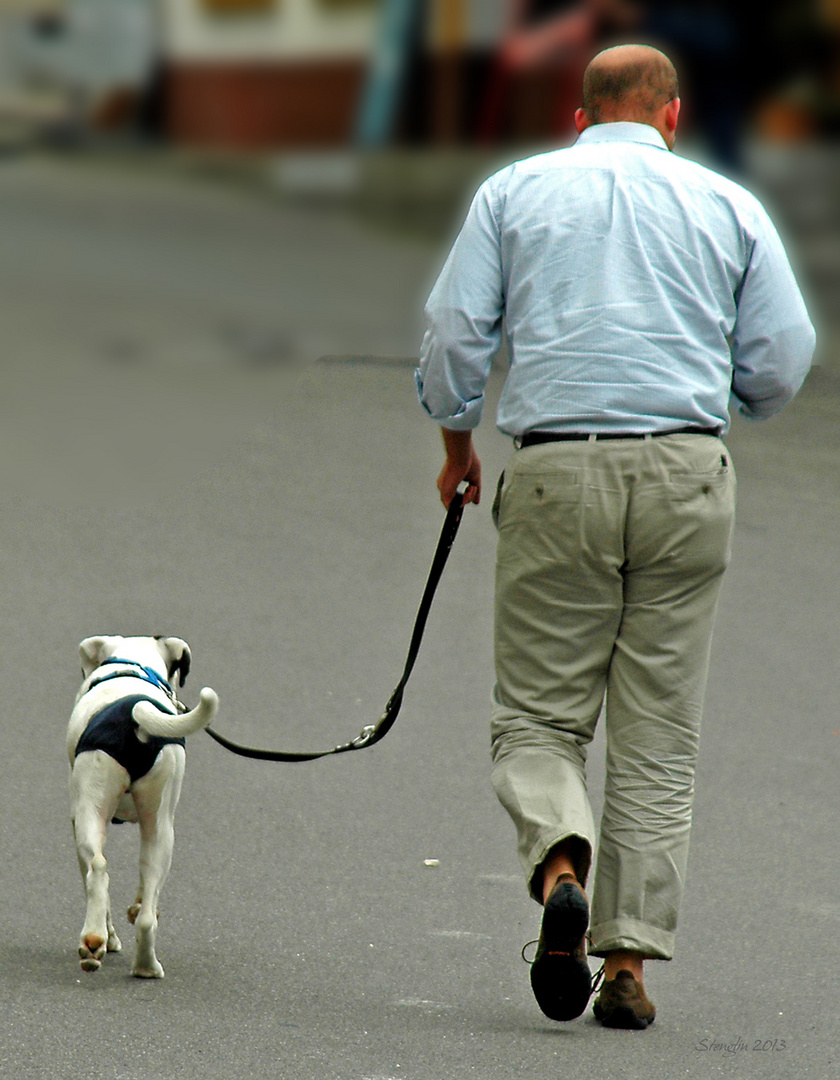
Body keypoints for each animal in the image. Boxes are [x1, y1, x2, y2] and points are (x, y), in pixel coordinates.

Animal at [67, 630, 218, 980]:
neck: (134, 664)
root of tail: (135, 714)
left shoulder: (75, 821)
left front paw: (109, 937)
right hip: (161, 828)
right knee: (147, 908)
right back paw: (146, 965)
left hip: (92, 813)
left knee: (98, 869)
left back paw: (96, 941)